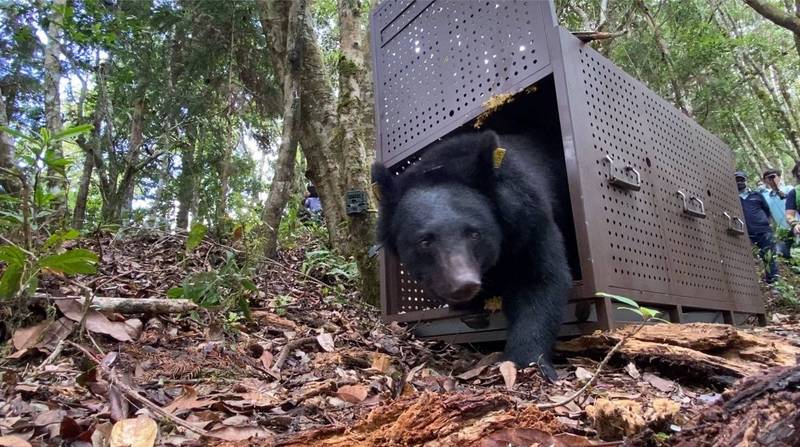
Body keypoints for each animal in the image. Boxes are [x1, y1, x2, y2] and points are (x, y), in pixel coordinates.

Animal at [372, 129, 572, 379]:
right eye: (425, 241)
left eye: (475, 234)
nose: (464, 285)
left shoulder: (529, 220)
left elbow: (540, 280)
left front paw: (527, 362)